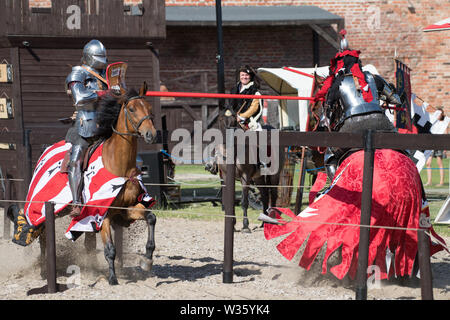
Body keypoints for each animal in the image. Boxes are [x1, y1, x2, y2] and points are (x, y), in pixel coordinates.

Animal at [7, 82, 159, 284]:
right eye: (132, 109)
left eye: (149, 107)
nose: (151, 134)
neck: (118, 166)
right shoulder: (102, 213)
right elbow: (110, 249)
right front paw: (112, 278)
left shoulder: (126, 209)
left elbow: (151, 218)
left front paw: (147, 260)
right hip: (45, 208)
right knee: (43, 236)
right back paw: (44, 271)